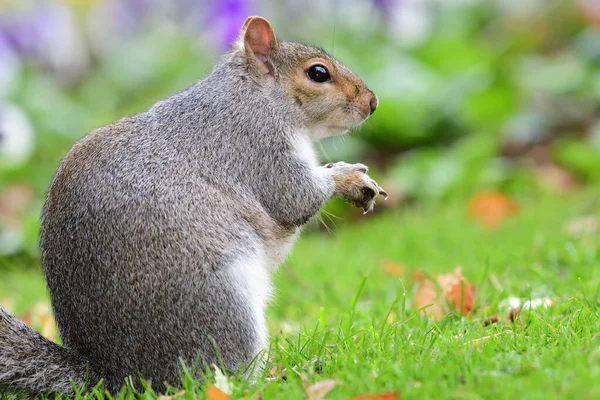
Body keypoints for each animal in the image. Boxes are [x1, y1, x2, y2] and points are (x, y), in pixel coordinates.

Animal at [0, 16, 384, 396]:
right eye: (318, 73)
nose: (373, 102)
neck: (254, 94)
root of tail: (114, 376)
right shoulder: (258, 147)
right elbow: (295, 196)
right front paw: (348, 178)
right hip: (223, 304)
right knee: (220, 376)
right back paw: (277, 378)